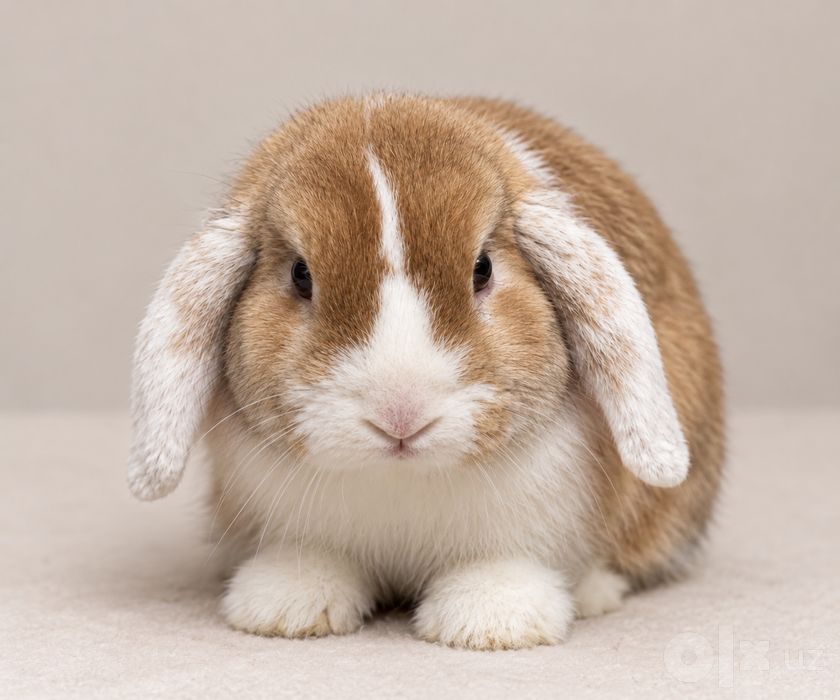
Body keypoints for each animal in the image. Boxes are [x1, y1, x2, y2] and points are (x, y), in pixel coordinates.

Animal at [128, 93, 724, 650]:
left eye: (483, 268)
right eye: (301, 274)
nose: (400, 414)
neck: (400, 478)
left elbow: (505, 567)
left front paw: (491, 624)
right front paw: (285, 610)